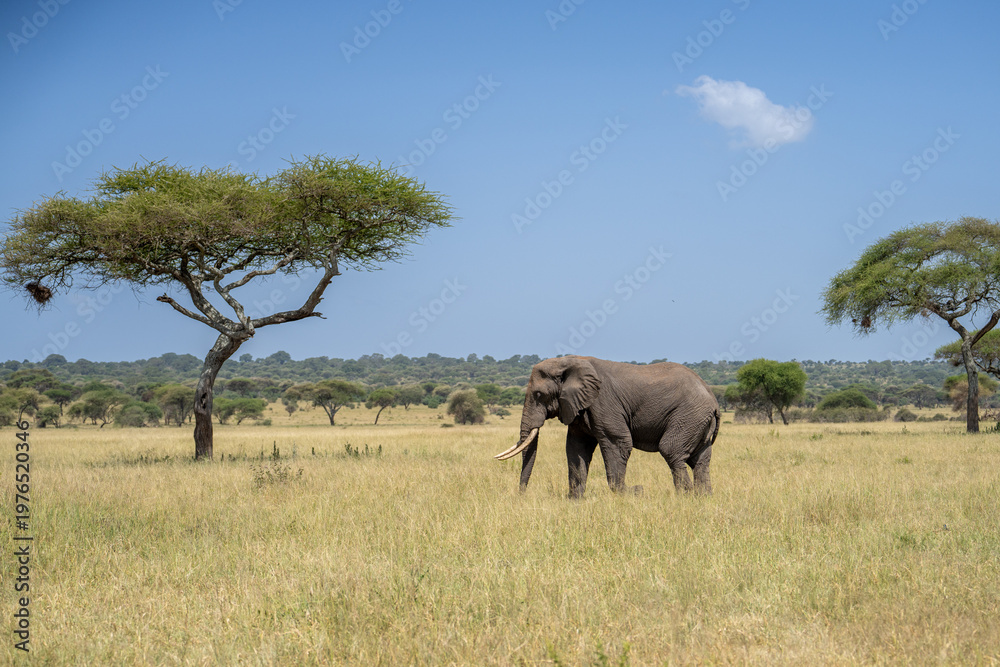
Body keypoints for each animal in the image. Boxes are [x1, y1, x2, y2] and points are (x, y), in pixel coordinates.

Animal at [495, 355, 719, 498]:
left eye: (539, 394)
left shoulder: (603, 403)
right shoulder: (578, 407)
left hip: (688, 415)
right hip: (697, 420)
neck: (569, 361)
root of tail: (713, 400)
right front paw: (575, 500)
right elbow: (576, 448)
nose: (522, 495)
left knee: (671, 450)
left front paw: (629, 494)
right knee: (700, 459)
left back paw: (685, 496)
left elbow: (618, 443)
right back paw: (702, 497)